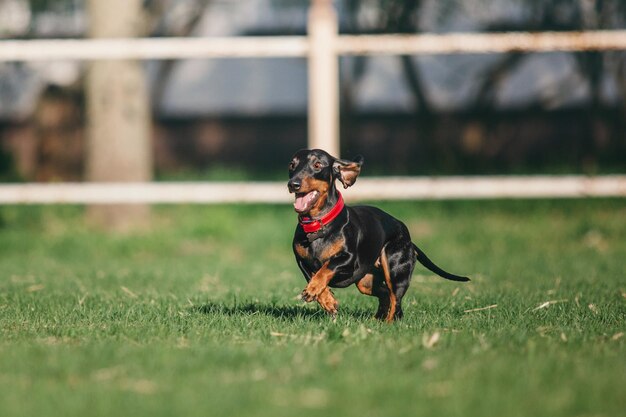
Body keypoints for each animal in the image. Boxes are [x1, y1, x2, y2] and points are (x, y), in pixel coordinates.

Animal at [288, 150, 468, 322]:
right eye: (292, 164)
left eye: (317, 165)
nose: (293, 184)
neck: (318, 226)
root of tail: (409, 240)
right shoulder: (301, 261)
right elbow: (312, 275)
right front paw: (326, 299)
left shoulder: (349, 260)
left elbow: (326, 268)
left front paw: (314, 290)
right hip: (366, 281)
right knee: (385, 294)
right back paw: (377, 320)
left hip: (395, 272)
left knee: (396, 303)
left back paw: (389, 323)